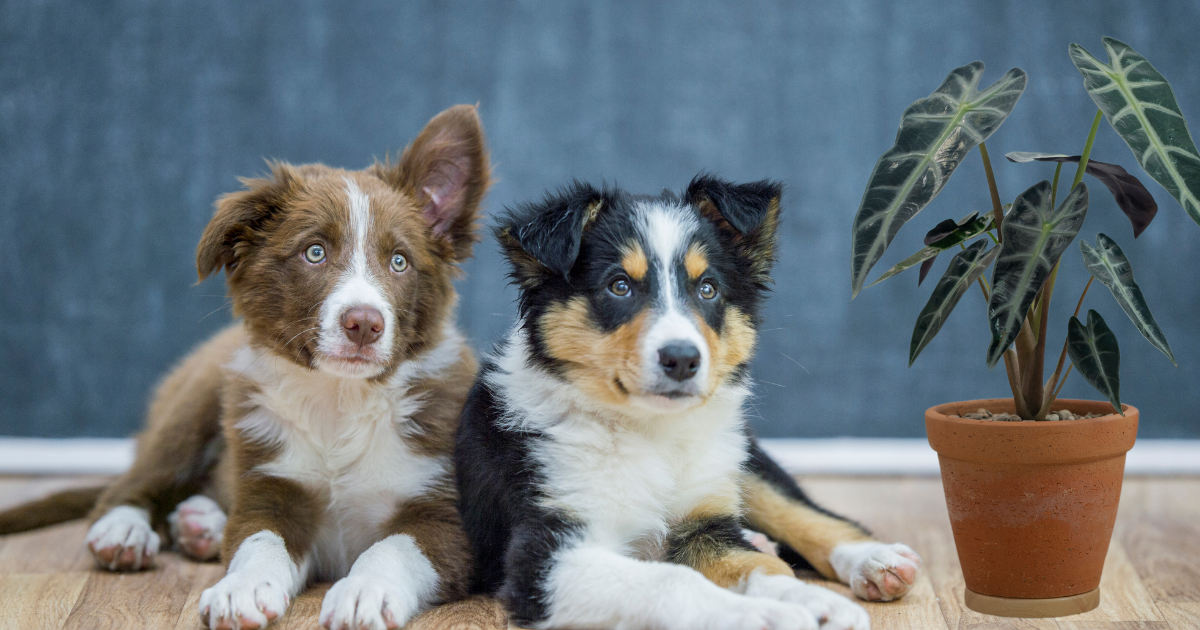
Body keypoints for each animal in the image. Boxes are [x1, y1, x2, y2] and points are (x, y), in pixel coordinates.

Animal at [0, 104, 492, 628]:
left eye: (399, 261)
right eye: (314, 252)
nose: (364, 324)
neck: (340, 401)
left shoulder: (446, 517)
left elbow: (392, 549)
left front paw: (365, 592)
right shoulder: (270, 489)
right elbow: (259, 541)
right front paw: (243, 588)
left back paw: (200, 525)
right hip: (193, 404)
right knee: (129, 486)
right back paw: (126, 532)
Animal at [453, 176, 921, 628]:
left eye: (708, 289)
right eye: (619, 286)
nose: (681, 359)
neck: (650, 431)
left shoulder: (703, 522)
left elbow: (762, 567)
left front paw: (816, 602)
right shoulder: (546, 553)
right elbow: (672, 579)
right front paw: (766, 616)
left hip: (736, 458)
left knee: (801, 511)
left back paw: (876, 560)